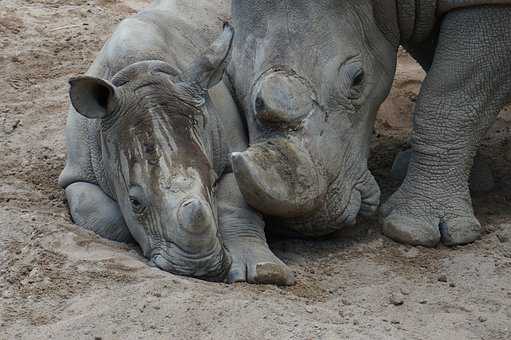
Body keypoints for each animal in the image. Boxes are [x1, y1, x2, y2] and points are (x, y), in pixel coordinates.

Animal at [59, 0, 296, 284]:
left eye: (212, 183)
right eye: (135, 201)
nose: (199, 268)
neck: (140, 68)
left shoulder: (234, 155)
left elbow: (236, 202)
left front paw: (266, 273)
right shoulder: (78, 173)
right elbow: (104, 216)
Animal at [229, 1, 511, 247]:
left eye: (358, 79)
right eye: (231, 80)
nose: (303, 225)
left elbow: (451, 96)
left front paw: (410, 230)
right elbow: (443, 73)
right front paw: (474, 178)